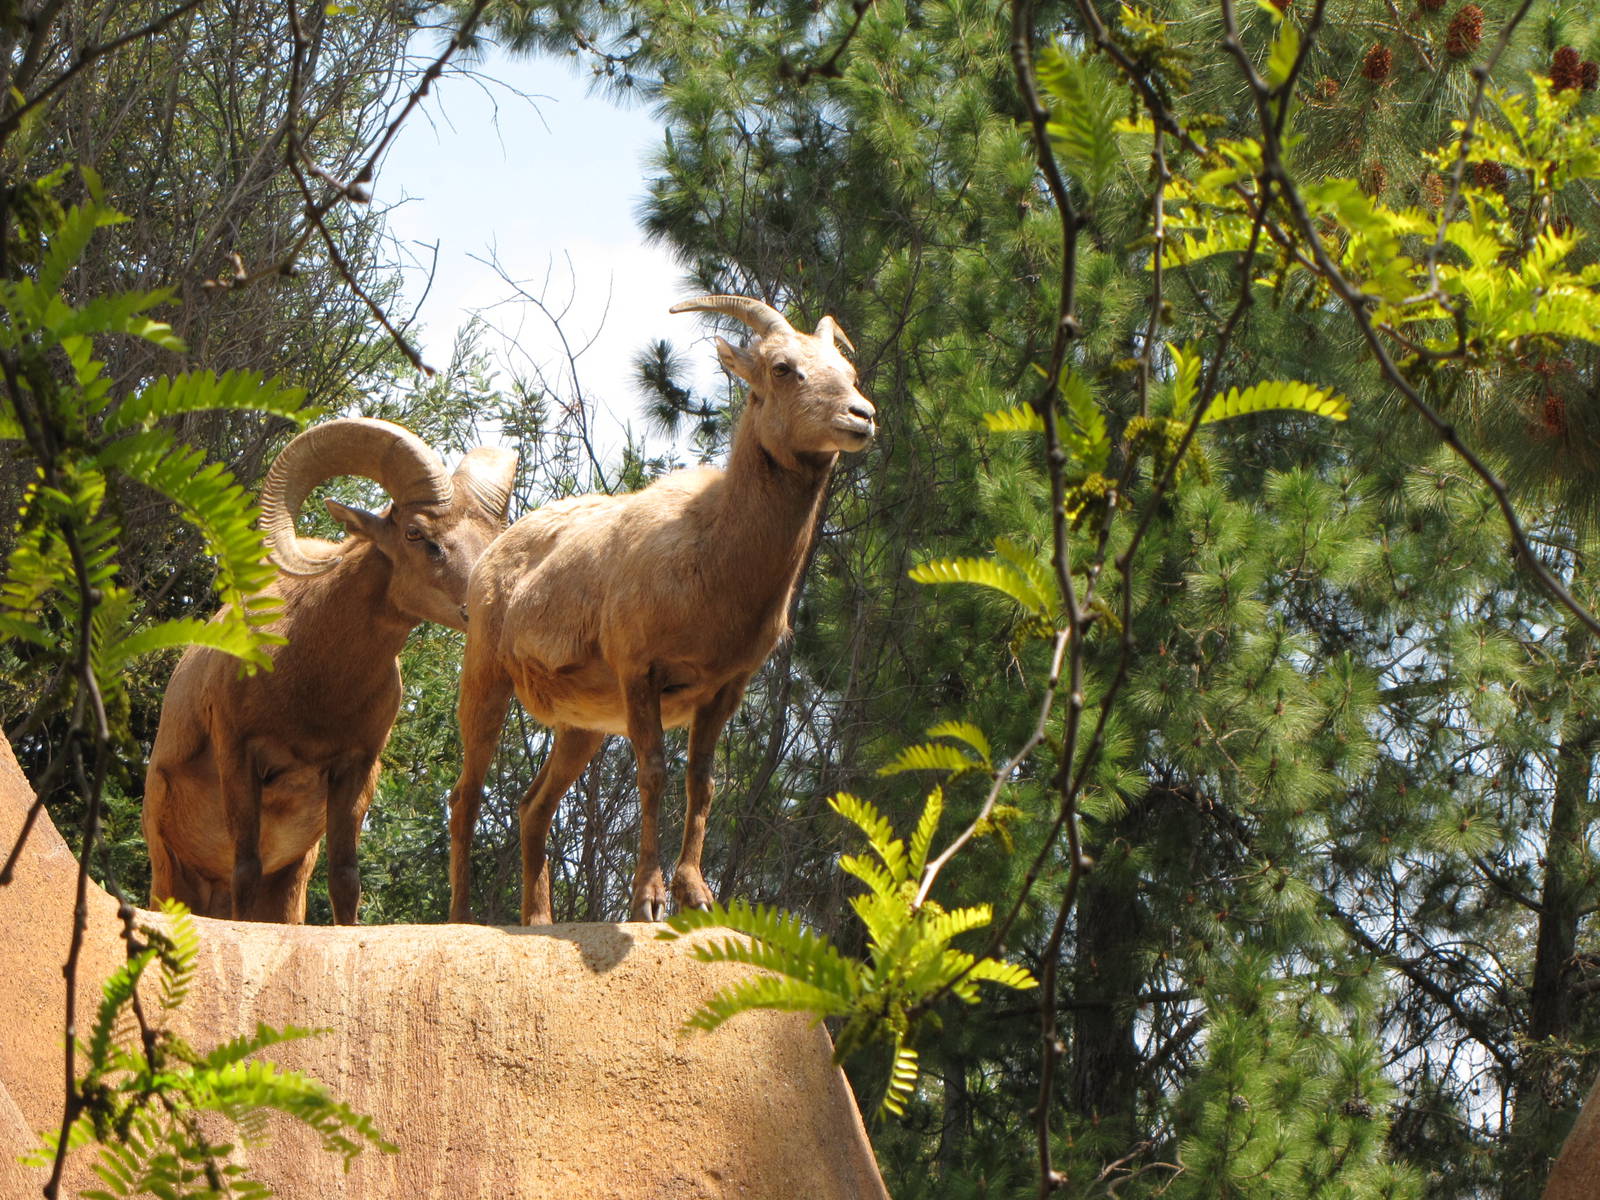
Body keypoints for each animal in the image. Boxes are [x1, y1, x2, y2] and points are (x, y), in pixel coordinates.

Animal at [143, 417, 518, 923]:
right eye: (415, 534)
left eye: (495, 535)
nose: (485, 598)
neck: (312, 686)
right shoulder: (239, 755)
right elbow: (246, 869)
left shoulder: (352, 771)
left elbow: (345, 880)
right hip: (169, 875)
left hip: (291, 881)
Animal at [447, 294, 875, 924]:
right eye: (782, 368)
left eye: (849, 371)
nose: (860, 416)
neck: (714, 560)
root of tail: (494, 555)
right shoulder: (640, 671)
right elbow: (653, 774)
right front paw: (647, 900)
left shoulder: (723, 688)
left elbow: (702, 782)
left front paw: (696, 895)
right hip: (486, 678)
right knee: (465, 796)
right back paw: (460, 917)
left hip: (581, 727)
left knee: (533, 806)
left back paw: (539, 920)